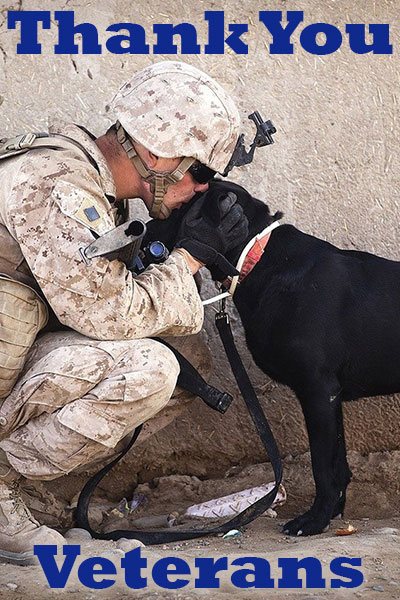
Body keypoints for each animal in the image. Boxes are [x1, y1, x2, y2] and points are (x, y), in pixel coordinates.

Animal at [145, 180, 400, 536]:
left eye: (180, 209)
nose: (141, 227)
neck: (260, 257)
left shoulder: (318, 392)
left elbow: (323, 466)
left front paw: (314, 520)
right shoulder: (330, 397)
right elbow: (339, 466)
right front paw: (331, 513)